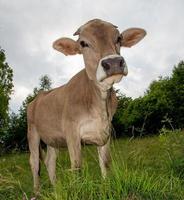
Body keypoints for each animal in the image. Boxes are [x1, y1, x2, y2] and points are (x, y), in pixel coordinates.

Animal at [27, 18, 146, 191]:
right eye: (83, 43)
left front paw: (106, 187)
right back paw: (37, 192)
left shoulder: (106, 131)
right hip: (33, 133)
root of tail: (38, 97)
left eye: (119, 38)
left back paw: (55, 189)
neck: (98, 103)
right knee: (35, 163)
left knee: (50, 161)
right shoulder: (71, 132)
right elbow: (77, 166)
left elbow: (105, 163)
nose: (113, 62)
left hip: (52, 138)